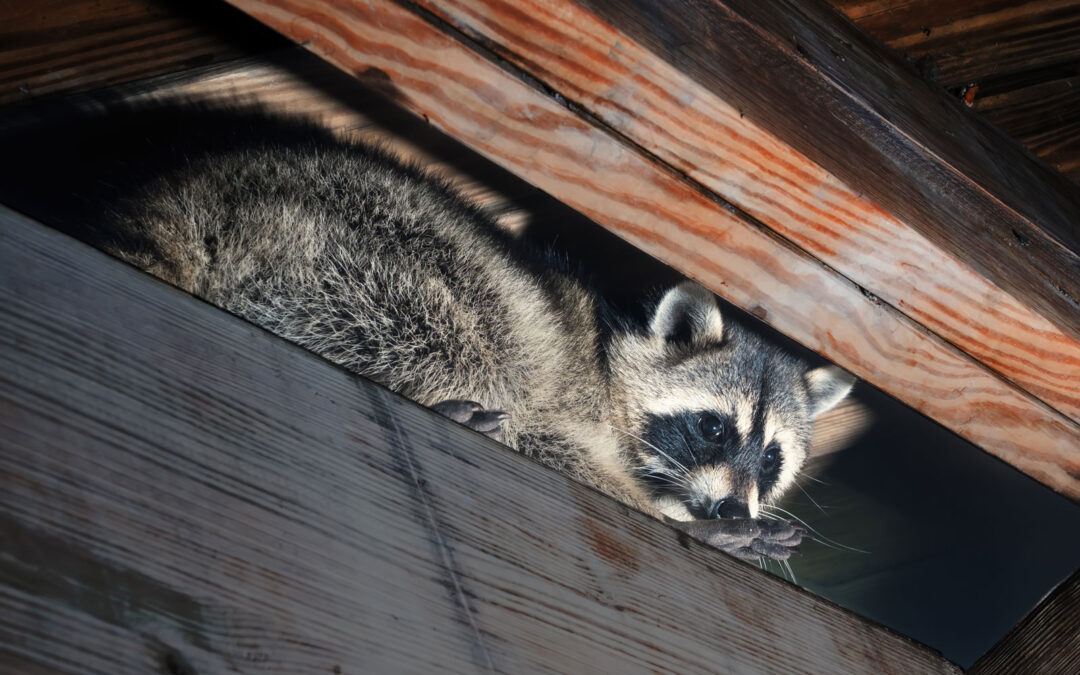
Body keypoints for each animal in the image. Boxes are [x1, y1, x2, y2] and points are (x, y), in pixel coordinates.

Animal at [2, 102, 851, 561]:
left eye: (771, 459)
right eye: (712, 427)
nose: (733, 511)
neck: (610, 357)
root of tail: (189, 191)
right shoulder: (564, 396)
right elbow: (552, 440)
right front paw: (677, 519)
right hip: (358, 252)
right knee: (464, 333)